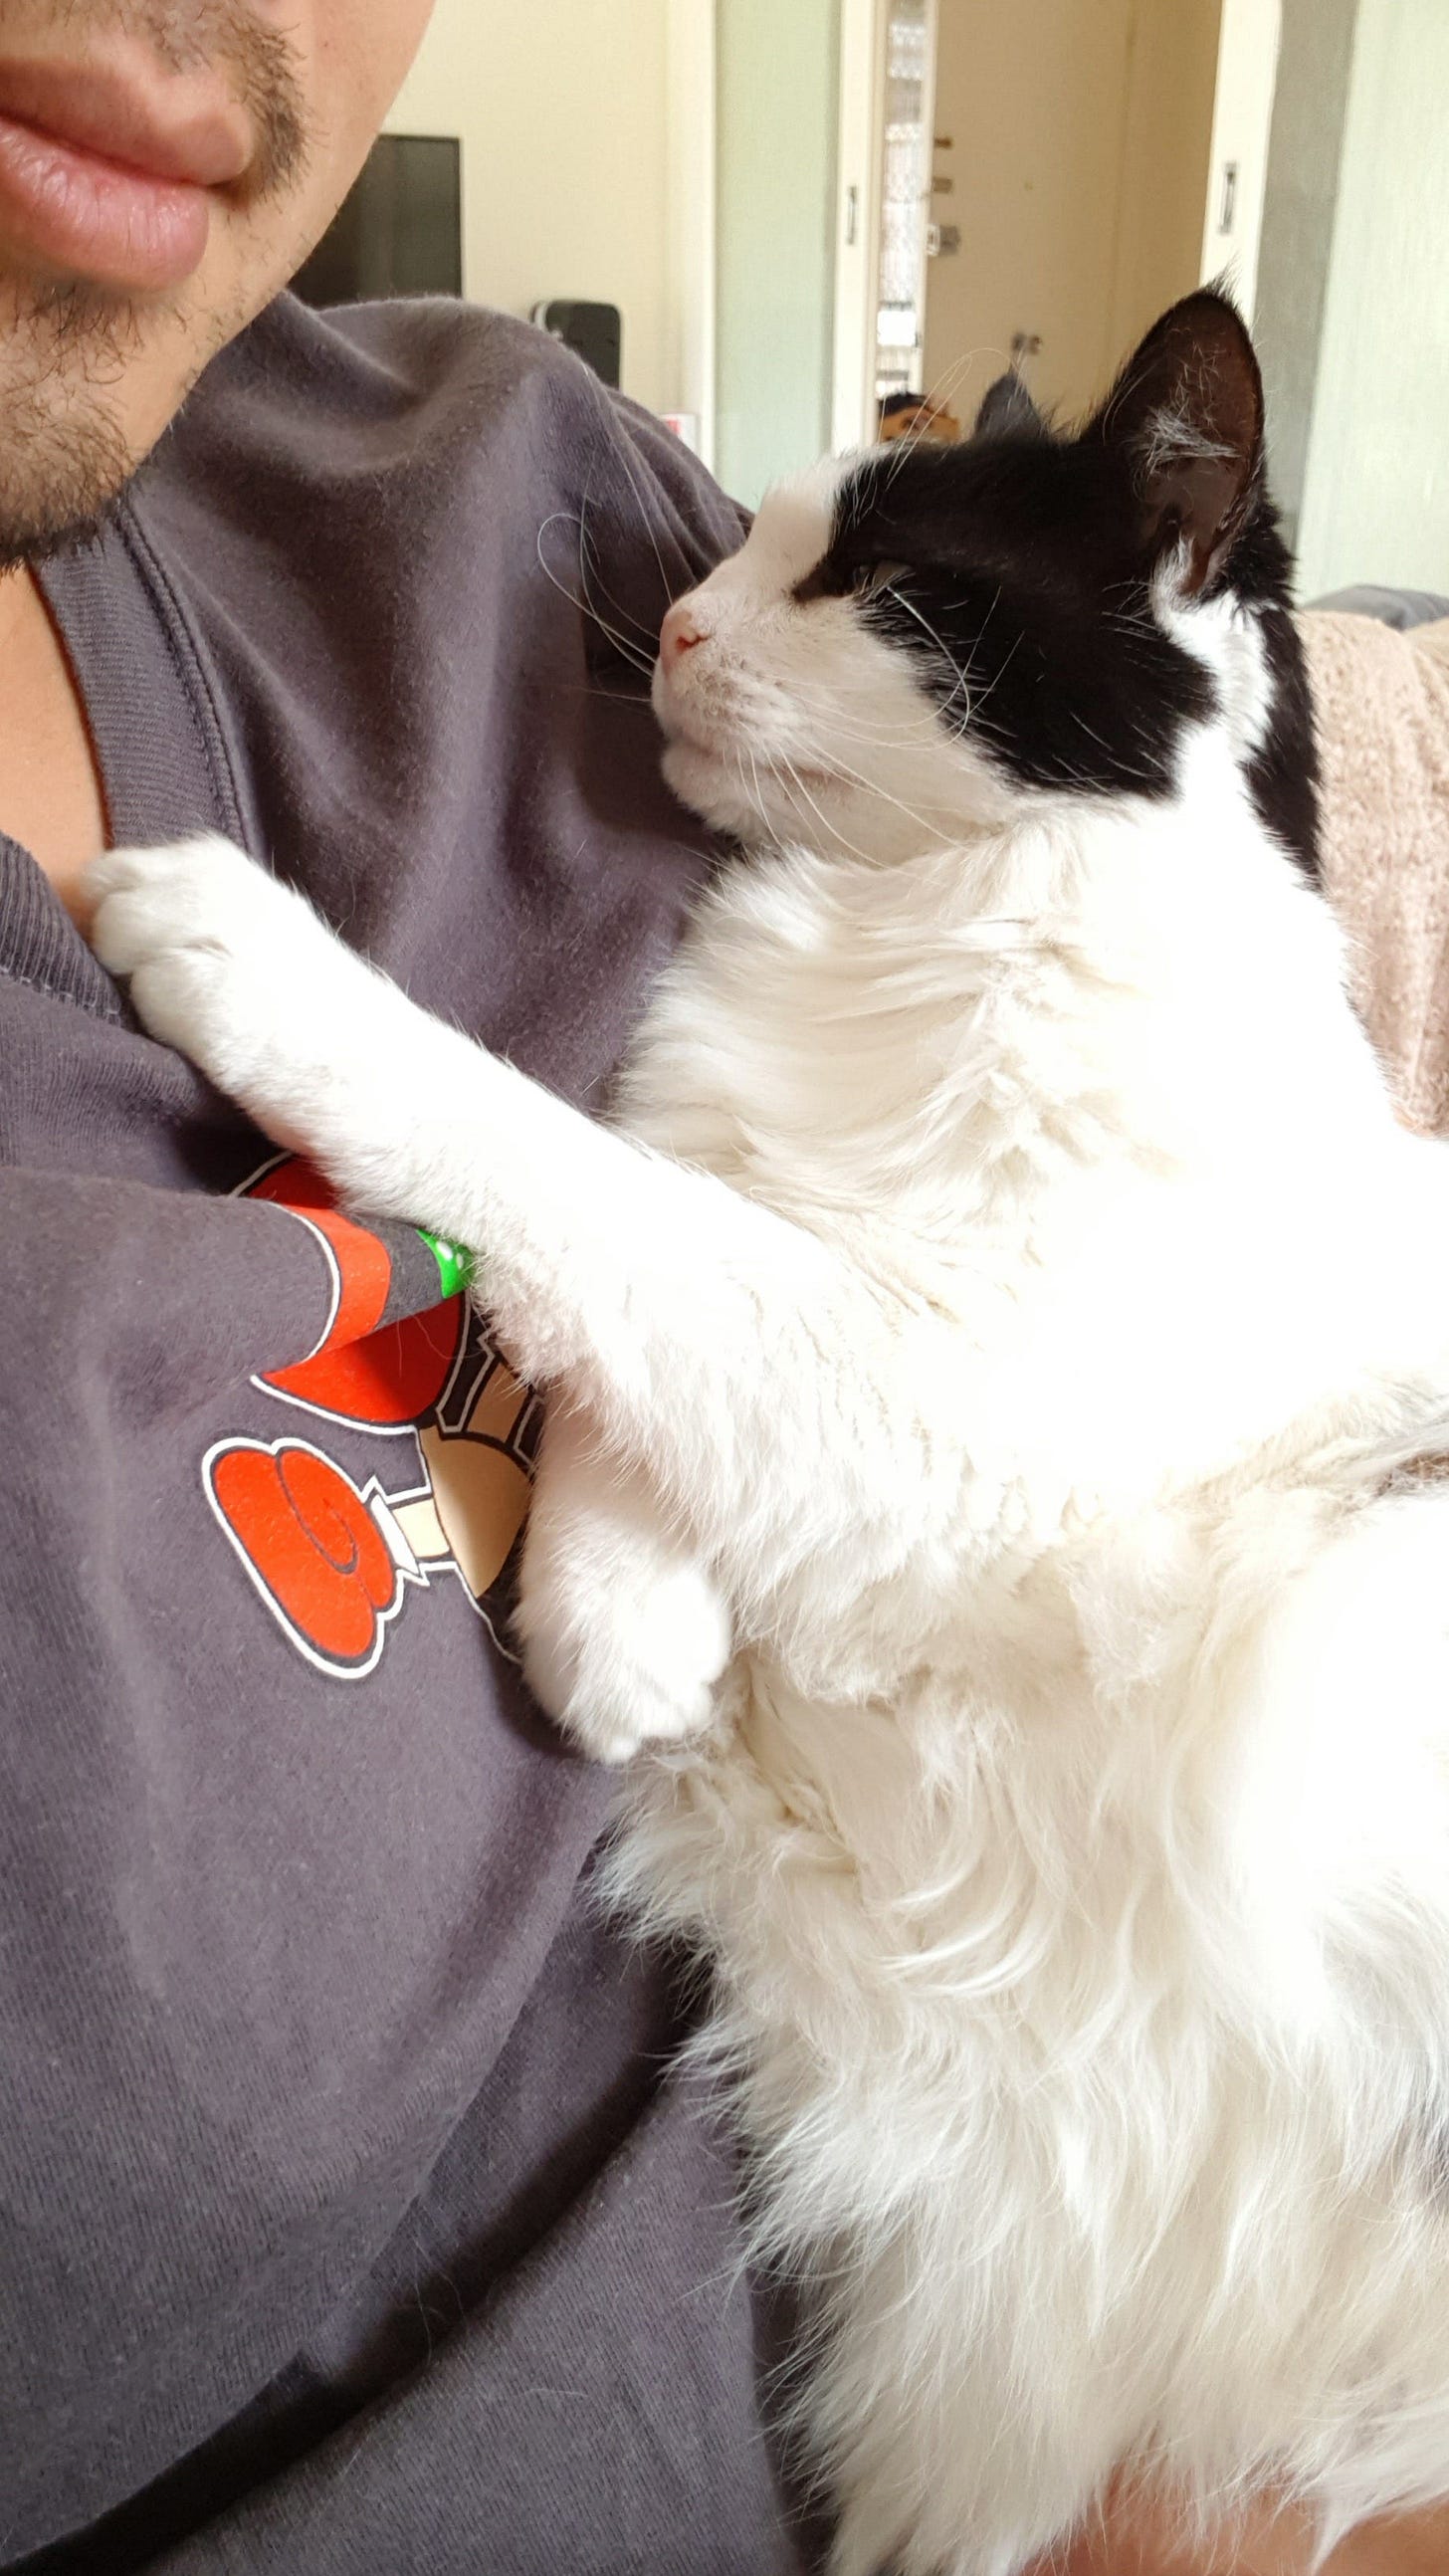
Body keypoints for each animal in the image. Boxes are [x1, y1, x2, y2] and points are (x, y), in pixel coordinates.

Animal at [88, 301, 1449, 2576]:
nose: (681, 622)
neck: (913, 920)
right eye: (754, 541)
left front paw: (250, 953)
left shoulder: (926, 1409)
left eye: (876, 585)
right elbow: (654, 1296)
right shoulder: (789, 1264)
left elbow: (610, 1206)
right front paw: (619, 1617)